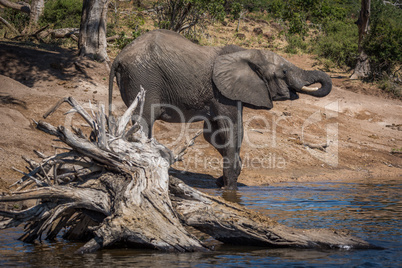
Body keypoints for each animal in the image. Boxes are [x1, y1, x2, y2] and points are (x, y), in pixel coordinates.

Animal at [108, 29, 332, 189]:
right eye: (284, 72)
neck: (247, 52)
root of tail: (118, 56)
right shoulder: (222, 93)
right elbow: (231, 129)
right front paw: (230, 188)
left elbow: (215, 135)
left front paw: (223, 181)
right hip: (143, 79)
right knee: (144, 122)